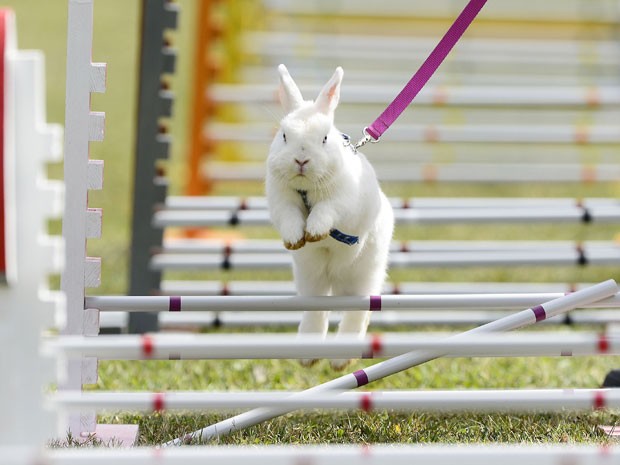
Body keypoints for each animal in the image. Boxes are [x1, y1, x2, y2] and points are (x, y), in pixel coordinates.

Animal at [266, 65, 392, 370]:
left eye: (324, 139)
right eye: (284, 135)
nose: (301, 161)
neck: (307, 189)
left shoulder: (341, 202)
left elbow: (326, 212)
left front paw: (315, 232)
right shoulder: (281, 202)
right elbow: (289, 218)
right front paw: (297, 239)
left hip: (367, 275)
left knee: (357, 314)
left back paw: (339, 360)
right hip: (311, 278)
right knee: (317, 308)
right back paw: (308, 356)